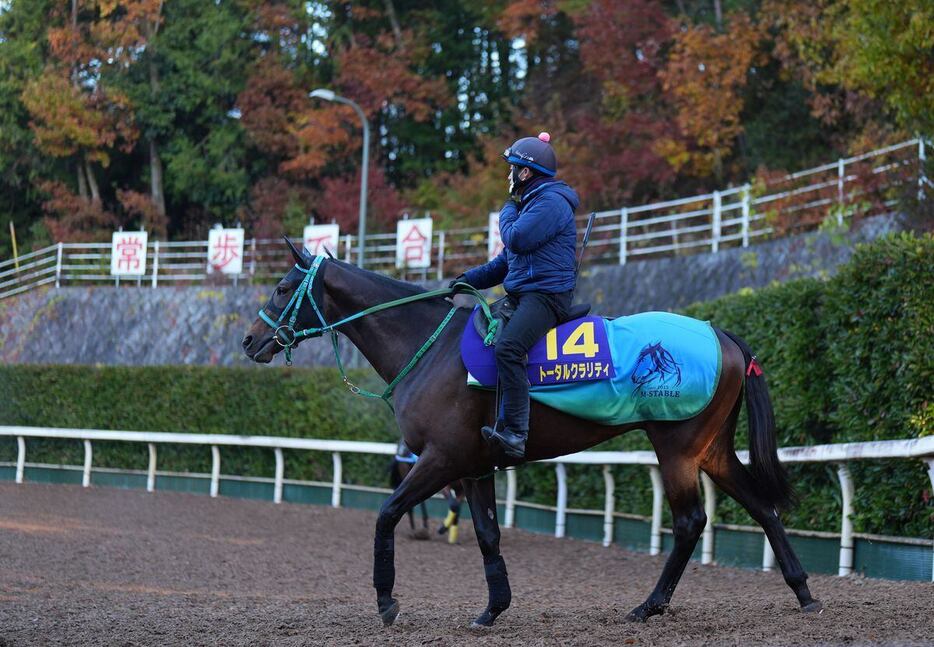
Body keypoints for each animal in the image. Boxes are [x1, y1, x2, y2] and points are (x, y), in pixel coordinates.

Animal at [243, 243, 828, 628]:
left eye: (281, 287)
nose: (249, 341)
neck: (428, 347)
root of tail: (721, 333)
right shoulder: (472, 466)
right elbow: (487, 535)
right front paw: (492, 608)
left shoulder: (440, 458)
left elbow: (386, 514)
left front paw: (387, 602)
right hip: (711, 448)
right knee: (762, 505)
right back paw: (803, 592)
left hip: (677, 446)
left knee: (690, 522)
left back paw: (650, 604)